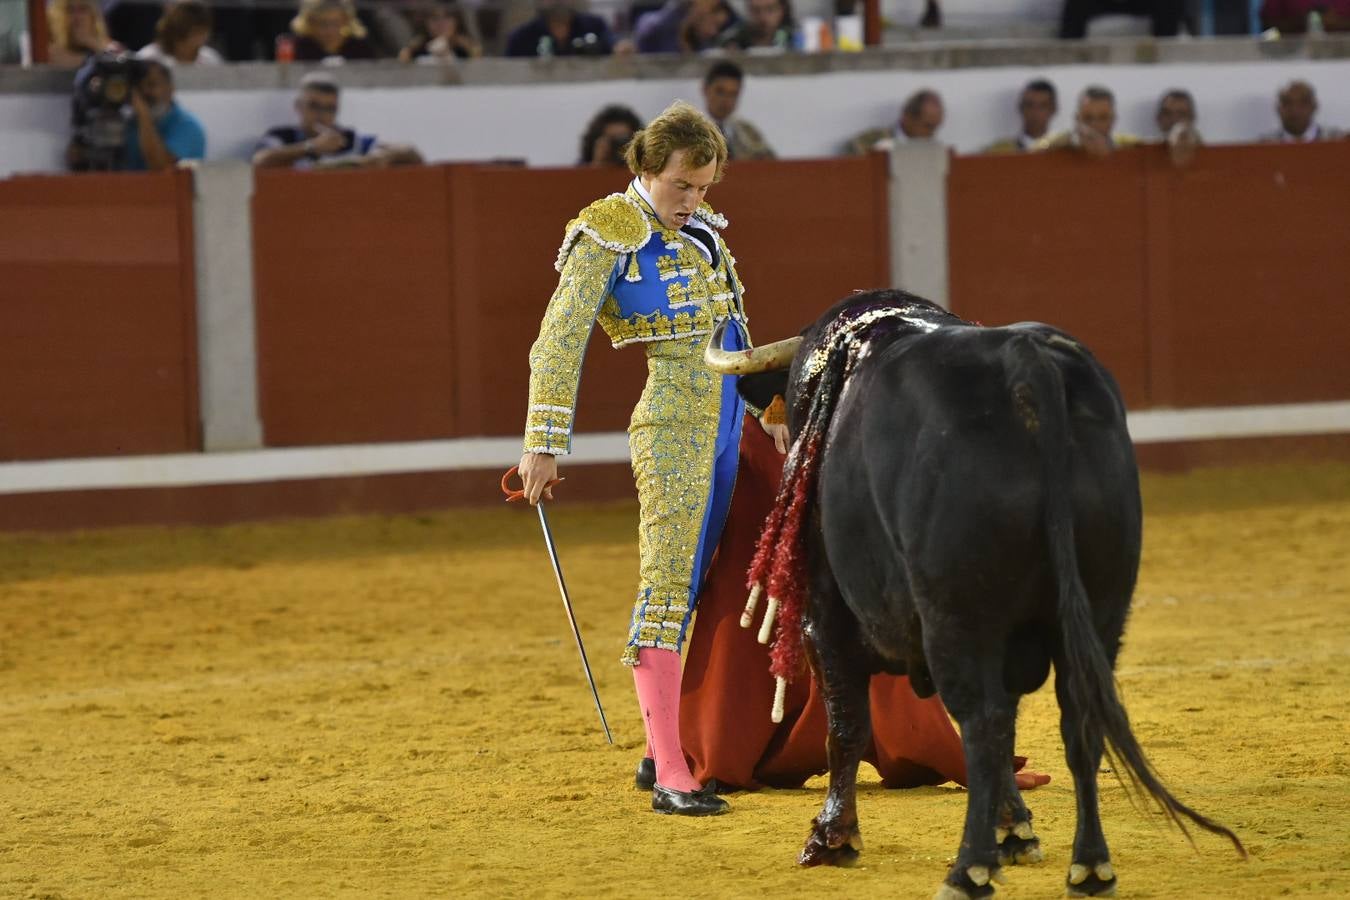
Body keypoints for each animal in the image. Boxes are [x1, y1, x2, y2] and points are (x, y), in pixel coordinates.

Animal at [718, 292, 1242, 895]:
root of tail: (1026, 361)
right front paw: (1016, 830)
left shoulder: (826, 620)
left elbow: (847, 727)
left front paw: (832, 838)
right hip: (1103, 608)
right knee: (1074, 719)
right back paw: (1089, 865)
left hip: (956, 617)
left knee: (979, 719)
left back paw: (969, 867)